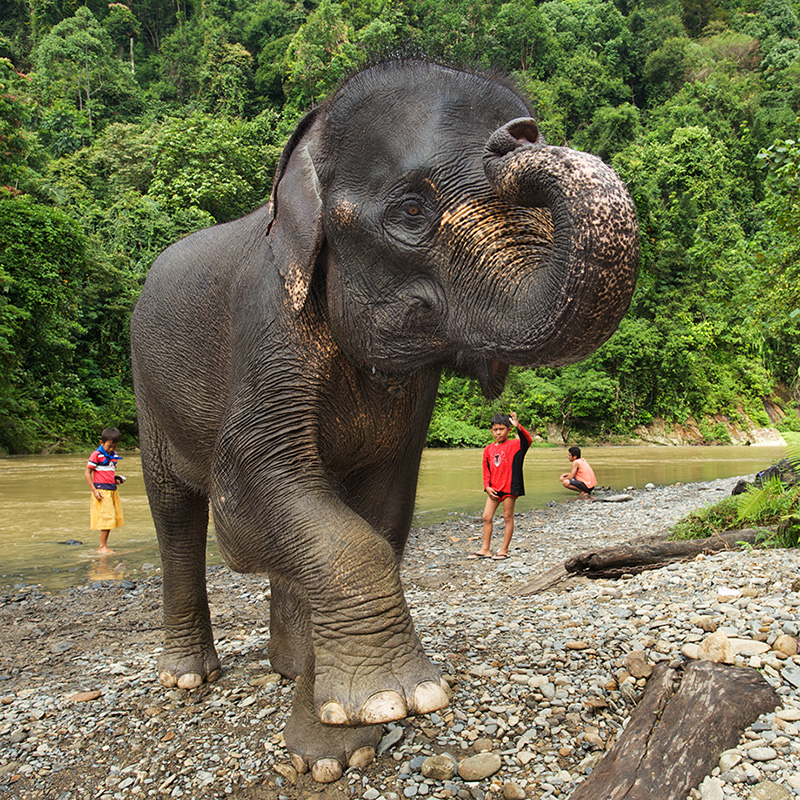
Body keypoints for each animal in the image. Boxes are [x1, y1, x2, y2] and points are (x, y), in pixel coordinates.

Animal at [131, 59, 640, 784]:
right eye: (411, 211)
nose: (518, 135)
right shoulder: (268, 323)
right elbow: (246, 498)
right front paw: (389, 701)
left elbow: (382, 509)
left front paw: (339, 736)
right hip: (146, 390)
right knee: (175, 513)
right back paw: (186, 679)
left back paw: (288, 666)